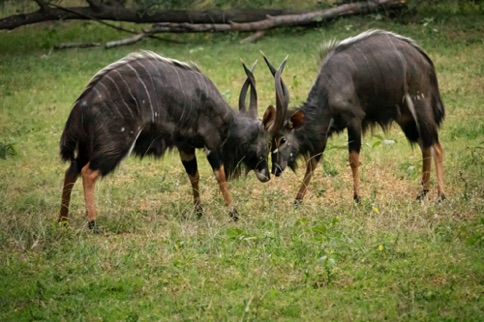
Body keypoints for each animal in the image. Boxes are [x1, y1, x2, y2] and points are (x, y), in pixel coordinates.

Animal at [60, 51, 280, 229]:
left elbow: (194, 175)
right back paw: (92, 224)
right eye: (267, 143)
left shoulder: (186, 147)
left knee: (71, 170)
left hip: (87, 148)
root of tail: (81, 107)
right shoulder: (211, 144)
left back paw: (62, 221)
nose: (267, 175)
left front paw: (199, 212)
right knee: (87, 172)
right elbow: (220, 176)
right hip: (114, 145)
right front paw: (234, 213)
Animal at [264, 28, 446, 204]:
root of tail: (426, 63)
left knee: (436, 146)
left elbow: (353, 159)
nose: (275, 169)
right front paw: (297, 200)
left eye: (283, 139)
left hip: (419, 104)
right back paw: (422, 193)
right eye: (270, 142)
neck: (329, 90)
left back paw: (441, 196)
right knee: (425, 145)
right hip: (405, 118)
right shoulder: (324, 135)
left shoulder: (354, 120)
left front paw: (357, 197)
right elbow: (313, 163)